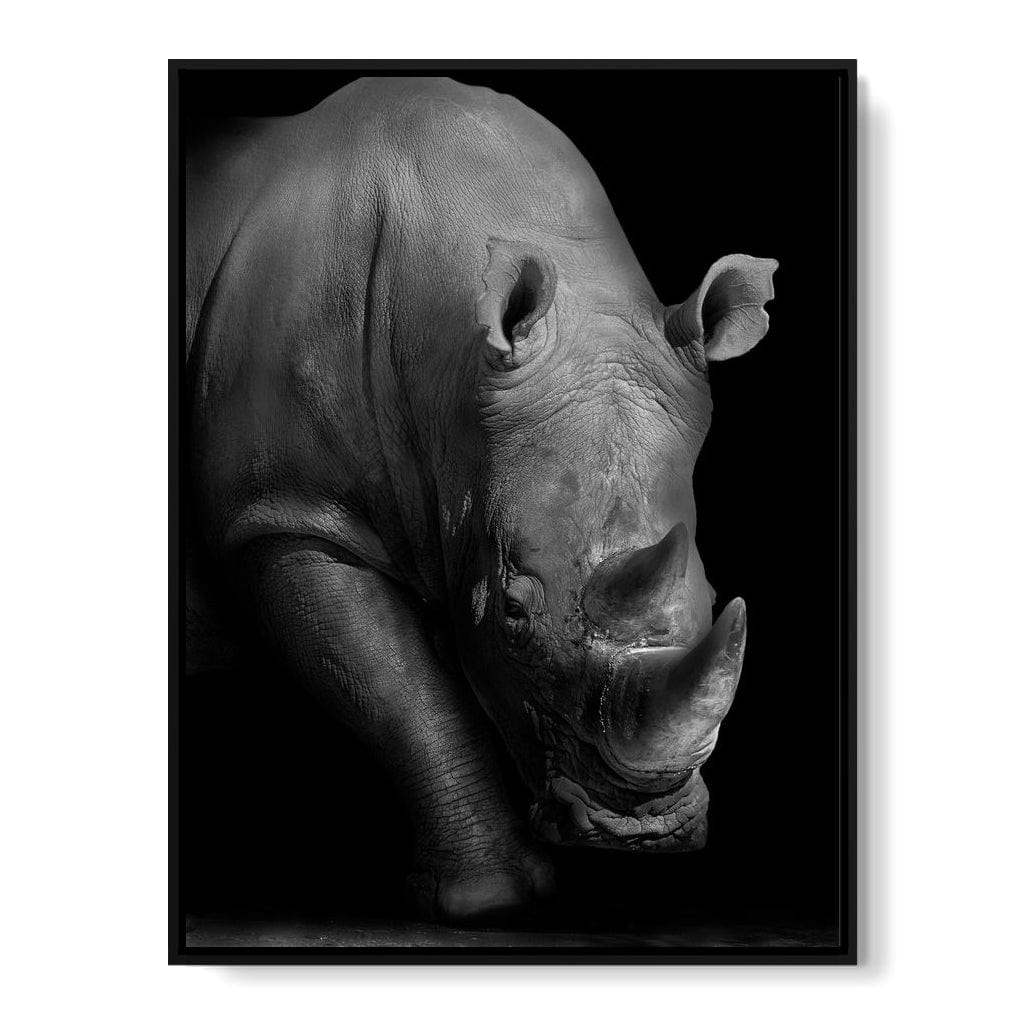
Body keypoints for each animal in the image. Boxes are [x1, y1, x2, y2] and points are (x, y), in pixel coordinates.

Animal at [185, 76, 777, 923]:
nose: (641, 833)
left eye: (711, 593)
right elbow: (398, 689)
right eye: (513, 612)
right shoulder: (285, 512)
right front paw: (488, 900)